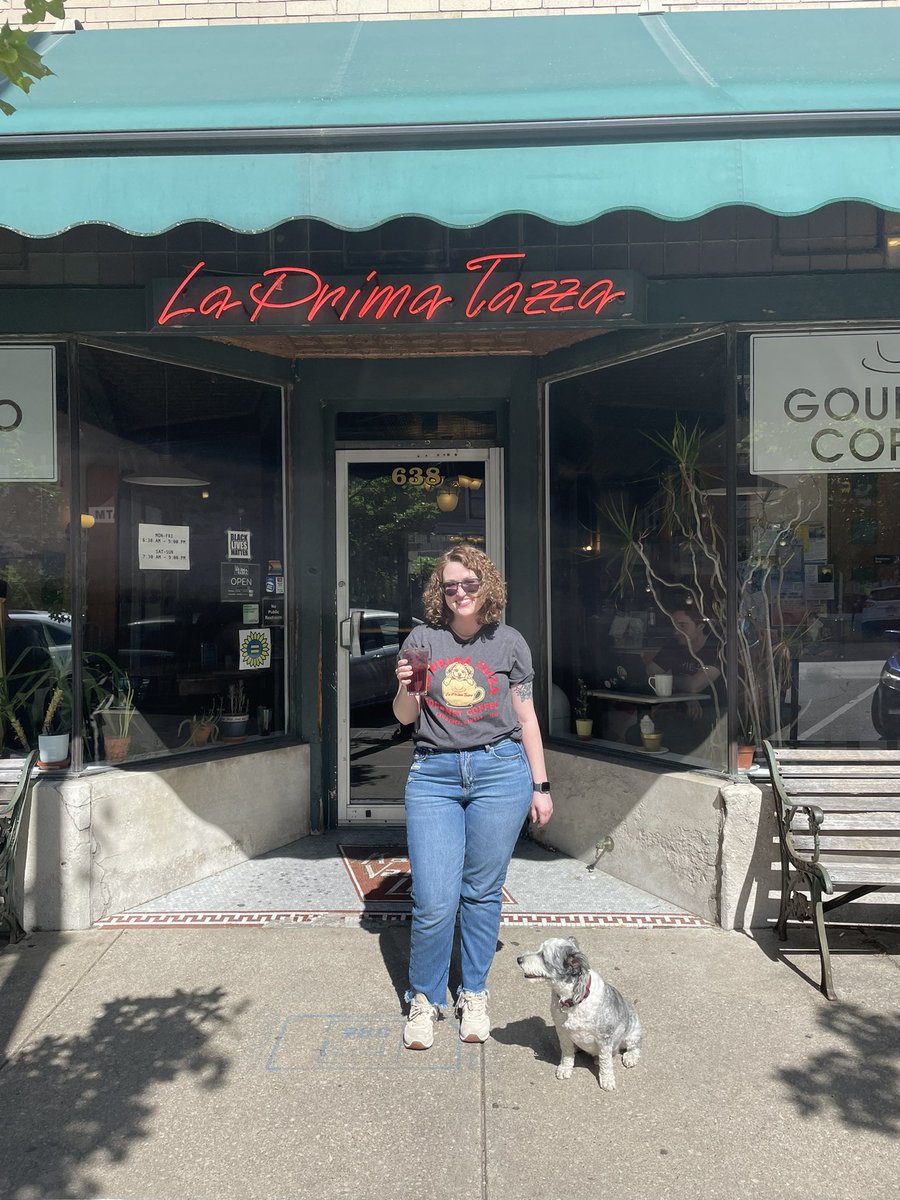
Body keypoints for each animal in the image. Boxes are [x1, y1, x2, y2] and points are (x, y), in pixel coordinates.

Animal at [518, 931, 643, 1094]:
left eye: (543, 955)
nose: (519, 959)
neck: (572, 1000)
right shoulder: (562, 1031)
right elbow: (567, 1052)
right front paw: (565, 1068)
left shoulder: (604, 1038)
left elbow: (606, 1062)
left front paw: (607, 1080)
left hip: (632, 1033)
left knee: (635, 1047)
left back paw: (630, 1057)